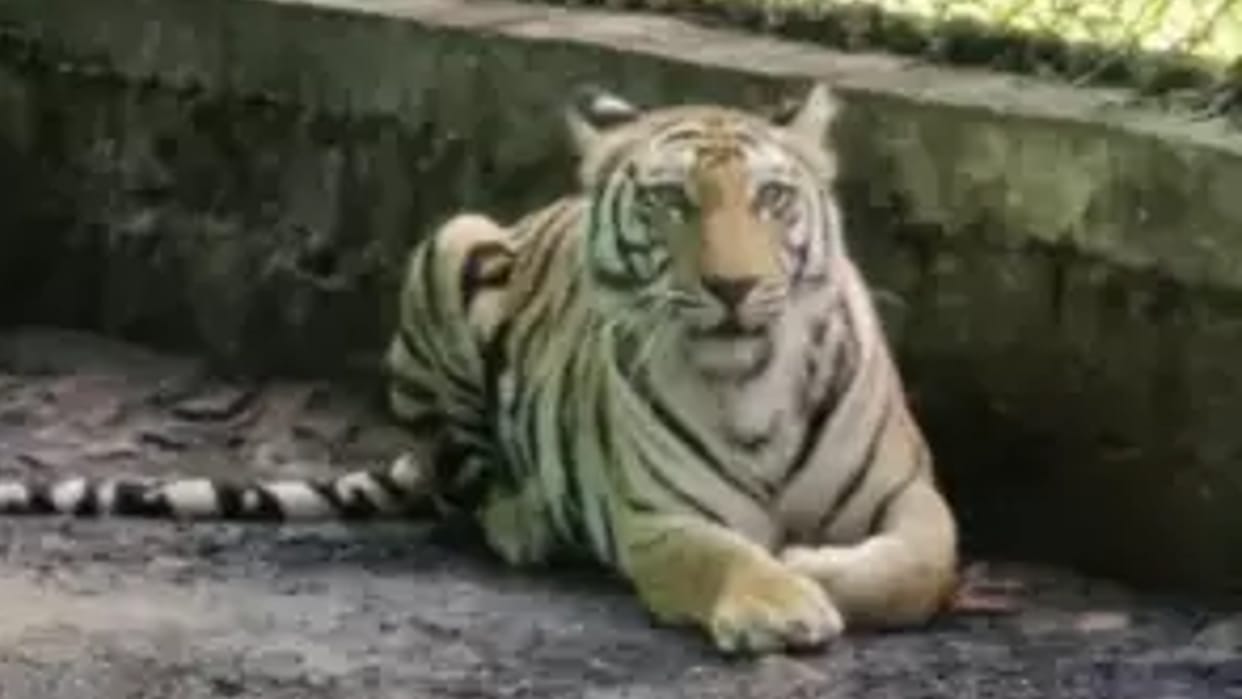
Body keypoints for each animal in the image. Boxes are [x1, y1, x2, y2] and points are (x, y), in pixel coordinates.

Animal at [0, 83, 958, 654]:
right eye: (671, 201)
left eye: (772, 198)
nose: (734, 286)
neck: (754, 379)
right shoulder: (658, 517)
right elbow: (721, 554)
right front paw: (779, 600)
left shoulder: (913, 494)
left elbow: (919, 562)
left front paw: (820, 567)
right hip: (450, 247)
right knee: (467, 477)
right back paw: (528, 519)